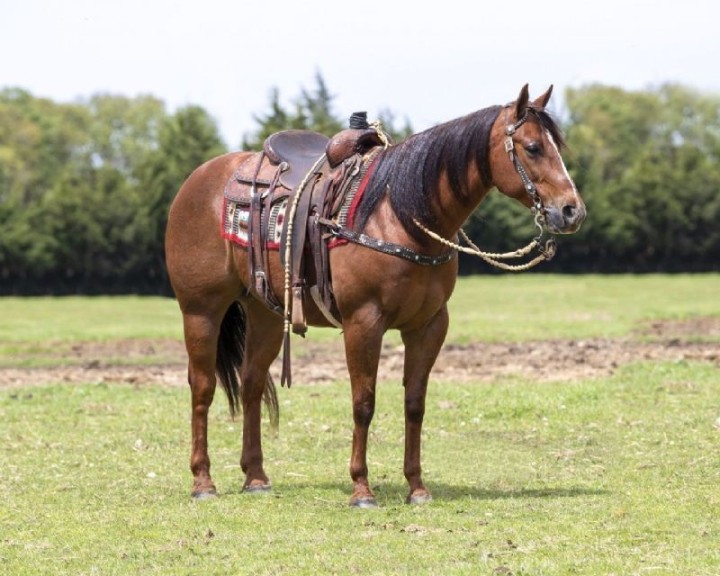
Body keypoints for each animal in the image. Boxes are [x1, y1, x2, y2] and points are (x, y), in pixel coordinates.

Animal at [165, 84, 586, 507]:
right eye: (533, 147)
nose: (572, 211)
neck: (399, 216)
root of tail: (197, 180)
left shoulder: (429, 325)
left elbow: (415, 403)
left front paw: (417, 487)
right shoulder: (363, 322)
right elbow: (363, 403)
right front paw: (361, 489)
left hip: (264, 311)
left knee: (251, 382)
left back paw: (256, 477)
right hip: (201, 310)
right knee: (202, 385)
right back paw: (203, 481)